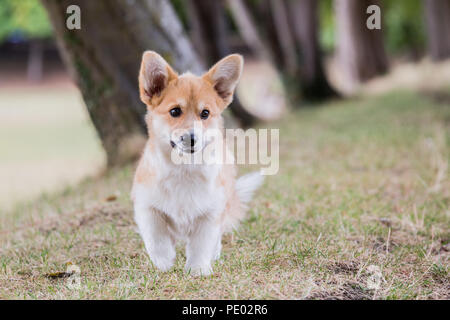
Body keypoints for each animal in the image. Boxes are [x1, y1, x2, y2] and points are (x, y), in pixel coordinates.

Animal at [130, 50, 264, 276]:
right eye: (175, 111)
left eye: (205, 113)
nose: (192, 139)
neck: (183, 169)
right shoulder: (146, 206)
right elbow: (156, 238)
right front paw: (164, 262)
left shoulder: (210, 213)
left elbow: (202, 244)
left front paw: (198, 270)